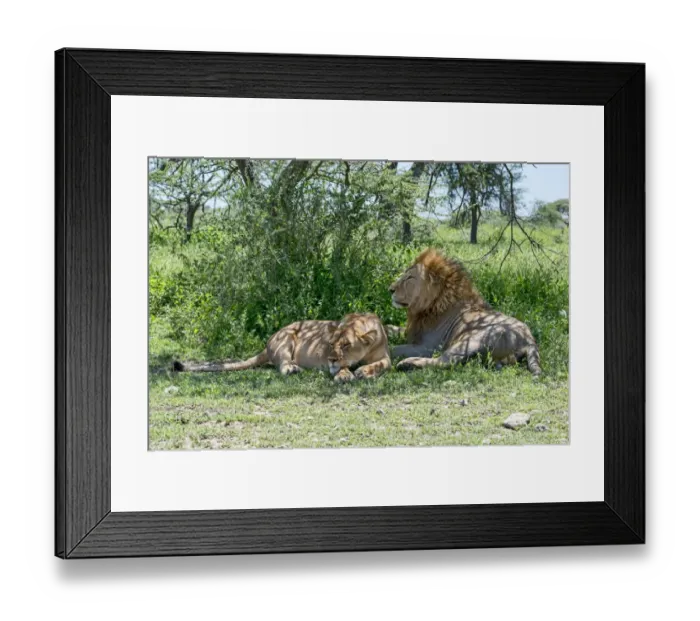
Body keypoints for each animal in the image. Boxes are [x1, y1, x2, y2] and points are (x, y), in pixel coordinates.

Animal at [173, 313, 391, 383]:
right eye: (331, 344)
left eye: (346, 345)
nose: (330, 359)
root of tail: (267, 343)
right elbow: (343, 367)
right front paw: (345, 375)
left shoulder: (386, 357)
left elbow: (383, 365)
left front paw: (365, 371)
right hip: (287, 338)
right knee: (283, 365)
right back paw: (293, 368)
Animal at [388, 248, 542, 375]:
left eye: (409, 277)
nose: (390, 289)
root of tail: (529, 340)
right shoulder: (413, 331)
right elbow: (391, 328)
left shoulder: (427, 347)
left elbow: (394, 349)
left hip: (470, 340)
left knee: (445, 362)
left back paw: (406, 364)